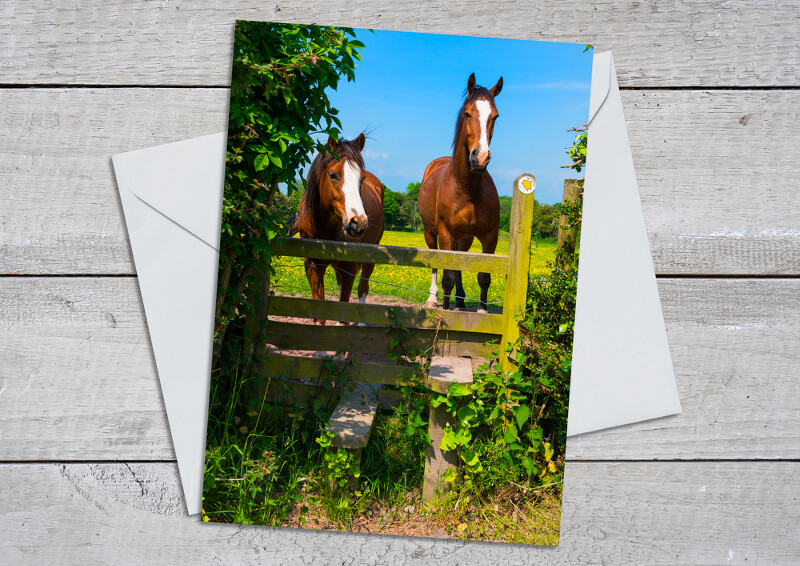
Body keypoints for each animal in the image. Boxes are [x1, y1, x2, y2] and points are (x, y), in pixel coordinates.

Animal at [294, 133, 385, 323]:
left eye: (362, 178)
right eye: (333, 175)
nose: (358, 223)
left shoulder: (350, 266)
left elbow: (343, 315)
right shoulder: (313, 265)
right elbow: (320, 315)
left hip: (370, 258)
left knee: (363, 288)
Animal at [417, 73, 502, 312]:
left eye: (495, 116)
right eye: (467, 113)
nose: (480, 158)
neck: (467, 189)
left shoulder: (489, 235)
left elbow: (483, 276)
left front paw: (481, 310)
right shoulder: (445, 233)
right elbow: (446, 276)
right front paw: (445, 309)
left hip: (464, 238)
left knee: (460, 264)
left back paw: (461, 300)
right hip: (431, 233)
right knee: (437, 265)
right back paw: (433, 299)